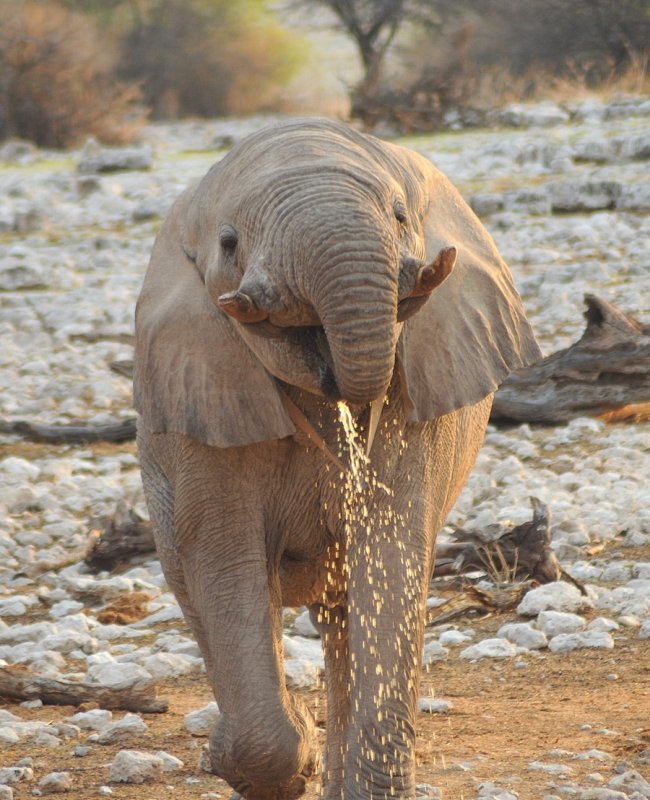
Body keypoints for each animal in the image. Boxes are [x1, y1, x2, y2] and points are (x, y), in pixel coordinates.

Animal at [134, 119, 540, 800]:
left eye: (401, 216)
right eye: (229, 243)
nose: (335, 382)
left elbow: (390, 551)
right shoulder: (205, 394)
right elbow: (223, 560)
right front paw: (280, 759)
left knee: (344, 607)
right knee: (198, 589)